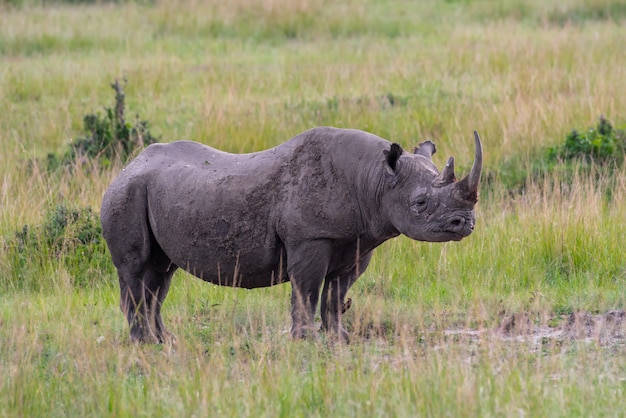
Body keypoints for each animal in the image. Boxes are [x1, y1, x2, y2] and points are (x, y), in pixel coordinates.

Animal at [101, 127, 482, 342]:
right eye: (420, 203)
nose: (464, 224)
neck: (373, 179)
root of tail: (128, 165)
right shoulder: (310, 237)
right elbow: (307, 289)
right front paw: (305, 340)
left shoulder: (357, 242)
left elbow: (337, 293)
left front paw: (339, 338)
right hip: (127, 193)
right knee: (135, 269)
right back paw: (142, 343)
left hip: (150, 190)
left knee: (160, 274)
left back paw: (165, 340)